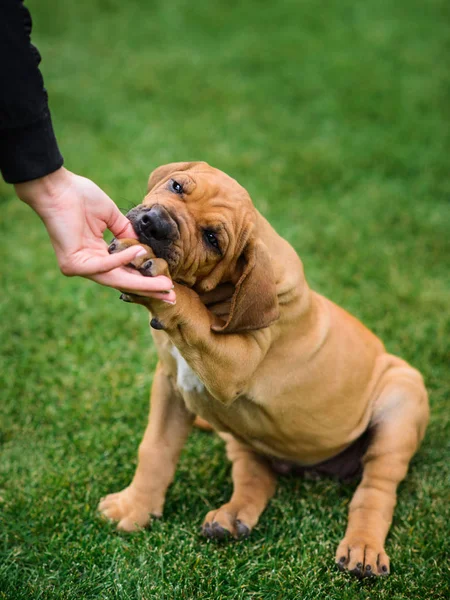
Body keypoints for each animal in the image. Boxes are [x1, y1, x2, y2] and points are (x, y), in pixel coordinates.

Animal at [98, 162, 428, 580]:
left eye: (212, 239)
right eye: (176, 186)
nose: (154, 225)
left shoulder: (232, 368)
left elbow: (190, 309)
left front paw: (150, 273)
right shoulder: (171, 384)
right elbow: (155, 449)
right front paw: (134, 508)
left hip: (402, 399)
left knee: (377, 487)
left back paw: (363, 548)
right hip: (244, 434)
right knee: (256, 473)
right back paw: (230, 518)